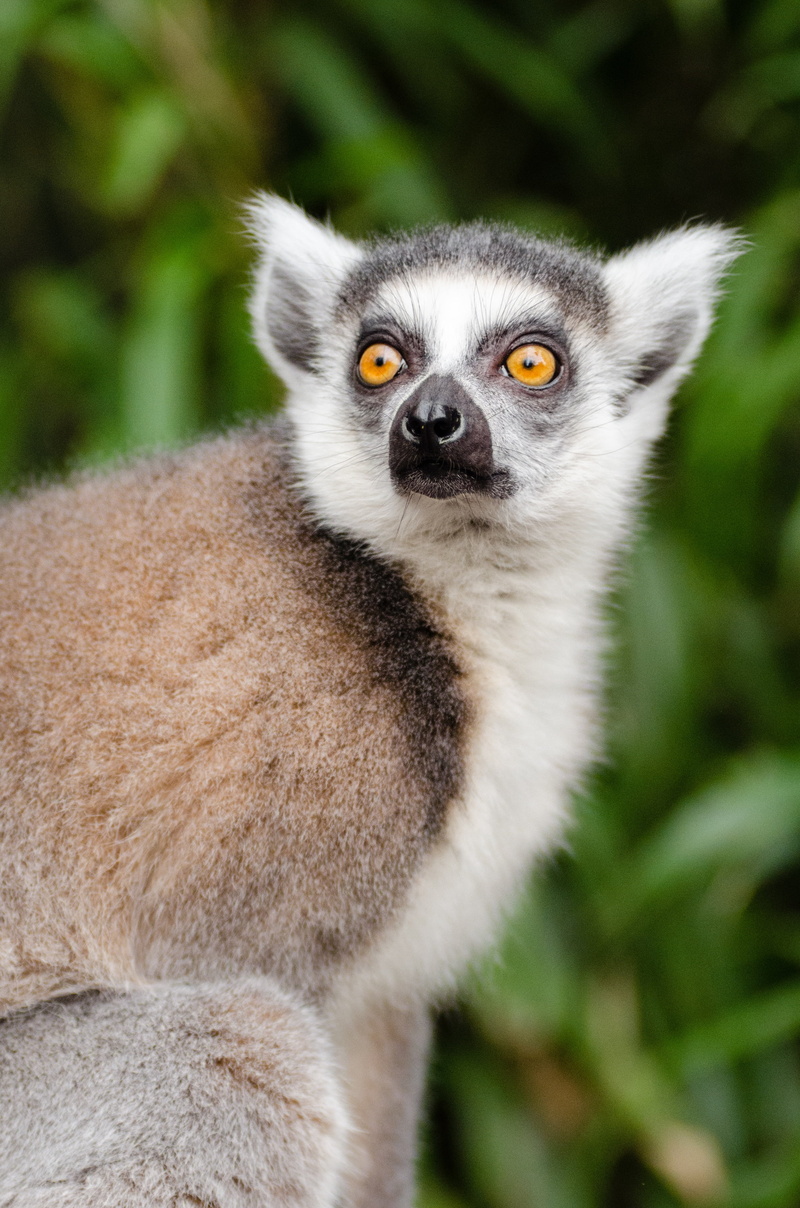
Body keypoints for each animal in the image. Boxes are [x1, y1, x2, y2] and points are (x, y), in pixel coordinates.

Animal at [0, 197, 739, 1206]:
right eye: (381, 360)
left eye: (531, 361)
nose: (431, 420)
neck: (447, 593)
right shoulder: (299, 797)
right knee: (241, 1058)